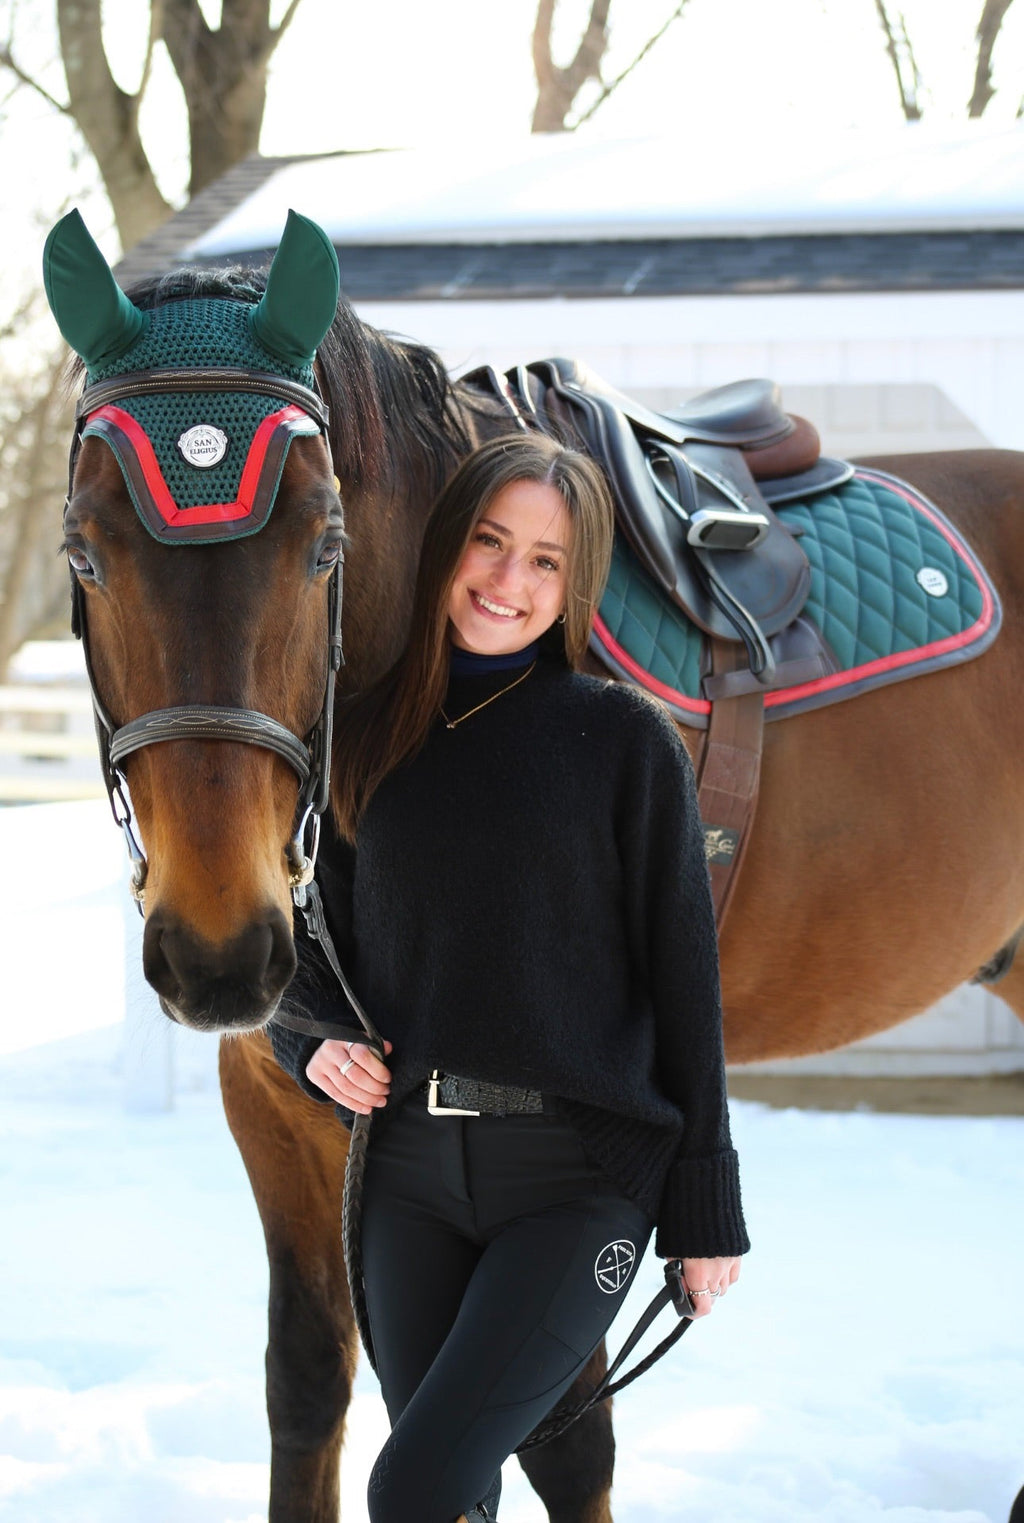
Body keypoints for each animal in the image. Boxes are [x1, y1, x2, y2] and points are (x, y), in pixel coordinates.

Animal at [44, 210, 1024, 1523]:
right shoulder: (279, 1099)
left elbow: (565, 1441)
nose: (219, 946)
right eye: (84, 553)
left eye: (324, 547)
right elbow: (307, 1380)